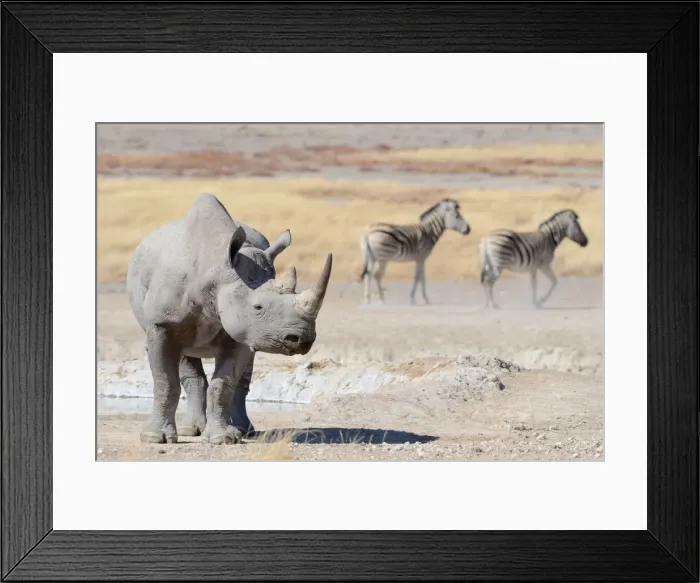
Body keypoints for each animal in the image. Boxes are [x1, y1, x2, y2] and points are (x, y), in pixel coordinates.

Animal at [126, 193, 333, 445]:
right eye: (257, 307)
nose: (302, 339)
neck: (215, 270)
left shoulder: (244, 330)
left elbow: (223, 384)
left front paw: (223, 438)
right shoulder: (161, 324)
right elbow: (165, 381)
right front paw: (155, 437)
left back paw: (244, 430)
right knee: (185, 359)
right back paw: (190, 430)